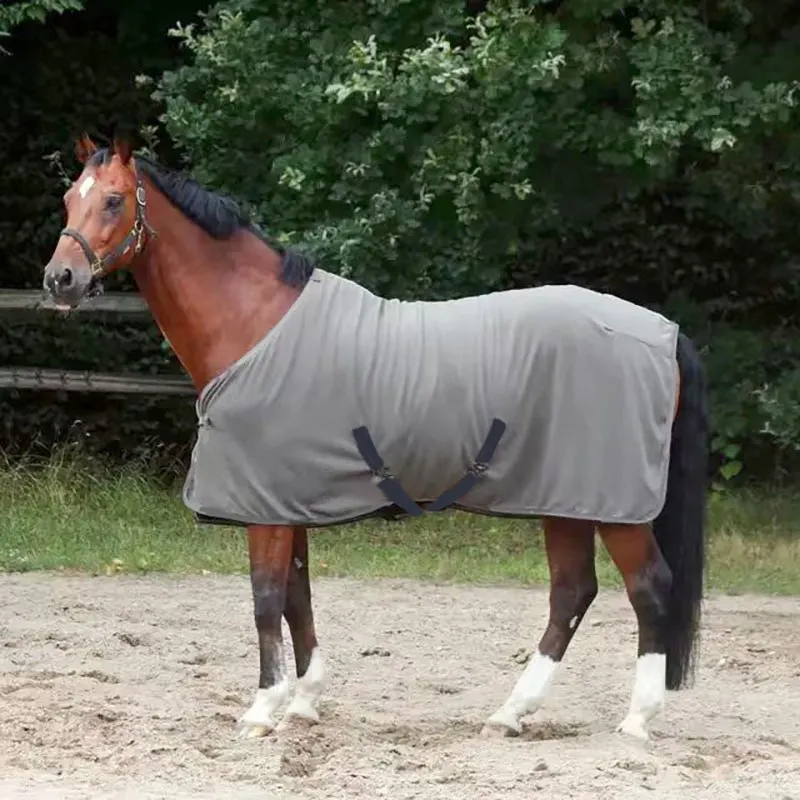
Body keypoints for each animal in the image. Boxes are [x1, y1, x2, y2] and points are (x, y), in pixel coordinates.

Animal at [42, 135, 709, 743]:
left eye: (113, 200)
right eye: (69, 198)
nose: (59, 279)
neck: (254, 322)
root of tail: (664, 332)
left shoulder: (265, 508)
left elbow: (265, 597)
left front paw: (263, 710)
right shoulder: (286, 499)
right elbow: (297, 595)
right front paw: (305, 703)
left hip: (614, 507)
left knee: (648, 588)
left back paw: (636, 720)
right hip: (565, 500)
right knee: (572, 593)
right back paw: (510, 713)